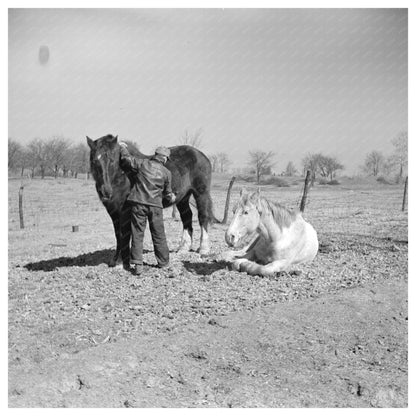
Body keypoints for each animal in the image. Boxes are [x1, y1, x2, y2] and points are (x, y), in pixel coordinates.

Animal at [85, 134, 214, 266]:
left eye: (112, 160)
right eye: (94, 161)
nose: (105, 191)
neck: (122, 176)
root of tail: (200, 155)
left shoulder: (125, 211)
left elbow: (123, 234)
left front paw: (121, 262)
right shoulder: (113, 212)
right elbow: (117, 234)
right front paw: (115, 260)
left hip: (201, 193)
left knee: (203, 217)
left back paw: (203, 249)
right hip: (183, 198)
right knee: (187, 216)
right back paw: (183, 248)